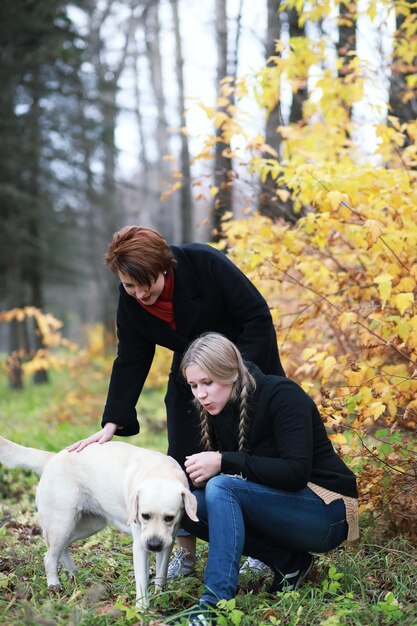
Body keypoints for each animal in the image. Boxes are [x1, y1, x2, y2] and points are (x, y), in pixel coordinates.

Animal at [0, 436, 197, 608]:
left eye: (169, 518)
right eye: (144, 516)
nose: (154, 545)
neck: (160, 472)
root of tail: (52, 457)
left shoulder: (168, 542)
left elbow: (161, 574)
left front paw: (160, 595)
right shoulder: (140, 545)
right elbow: (142, 579)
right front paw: (142, 609)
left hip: (88, 526)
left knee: (62, 549)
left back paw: (74, 574)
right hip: (62, 524)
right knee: (49, 557)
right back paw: (54, 586)